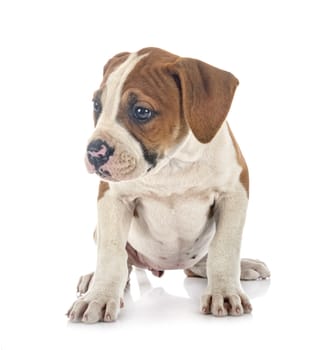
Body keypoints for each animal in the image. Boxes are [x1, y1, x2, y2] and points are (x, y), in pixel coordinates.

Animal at [67, 47, 270, 322]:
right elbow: (111, 253)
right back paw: (93, 279)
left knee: (199, 264)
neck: (173, 164)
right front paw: (99, 296)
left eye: (141, 111)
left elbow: (224, 249)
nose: (94, 152)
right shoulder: (112, 198)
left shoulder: (234, 193)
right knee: (124, 262)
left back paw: (244, 266)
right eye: (97, 105)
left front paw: (225, 292)